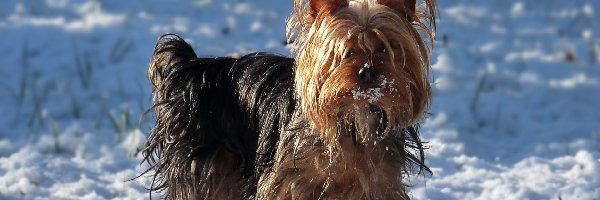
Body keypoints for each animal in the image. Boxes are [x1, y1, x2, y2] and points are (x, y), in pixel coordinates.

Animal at [141, 0, 436, 198]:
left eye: (385, 48)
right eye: (344, 52)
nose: (367, 71)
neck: (355, 116)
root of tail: (194, 68)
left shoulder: (380, 183)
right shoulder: (290, 183)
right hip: (205, 165)